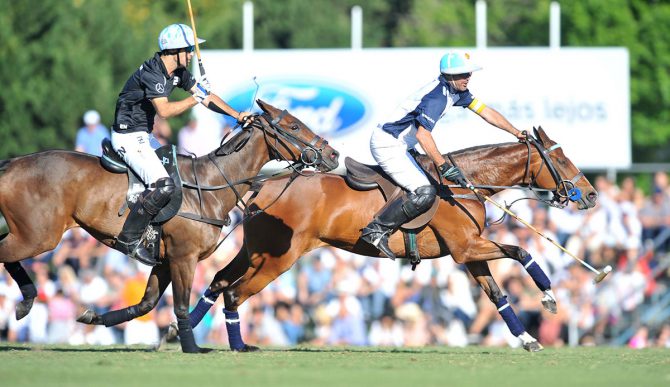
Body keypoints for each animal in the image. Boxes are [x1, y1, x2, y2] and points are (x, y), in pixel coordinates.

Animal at [0, 98, 338, 354]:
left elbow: (146, 304)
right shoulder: (183, 257)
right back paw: (27, 299)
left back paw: (26, 302)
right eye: (293, 126)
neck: (208, 186)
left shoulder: (163, 260)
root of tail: (11, 164)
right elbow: (181, 305)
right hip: (39, 236)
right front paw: (192, 347)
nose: (333, 154)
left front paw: (93, 316)